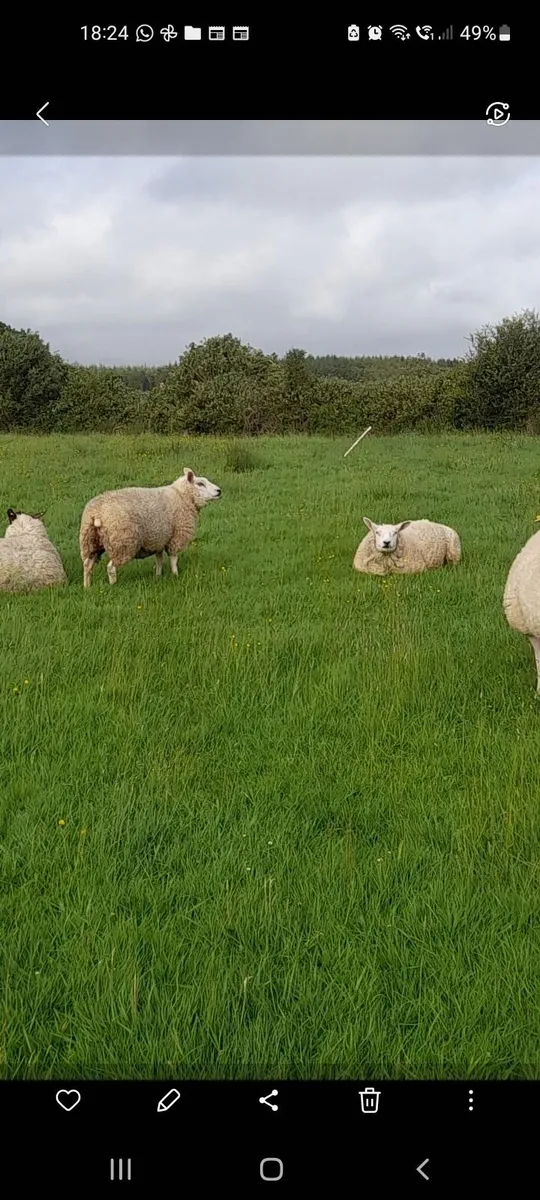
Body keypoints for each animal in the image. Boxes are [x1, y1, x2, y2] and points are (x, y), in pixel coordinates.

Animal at [79, 467, 221, 588]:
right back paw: (114, 585)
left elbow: (159, 559)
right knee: (111, 567)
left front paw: (158, 576)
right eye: (200, 484)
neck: (182, 496)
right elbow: (173, 559)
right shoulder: (176, 536)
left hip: (90, 540)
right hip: (122, 542)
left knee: (87, 564)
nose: (219, 491)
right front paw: (175, 575)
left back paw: (87, 586)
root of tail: (97, 513)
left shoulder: (159, 538)